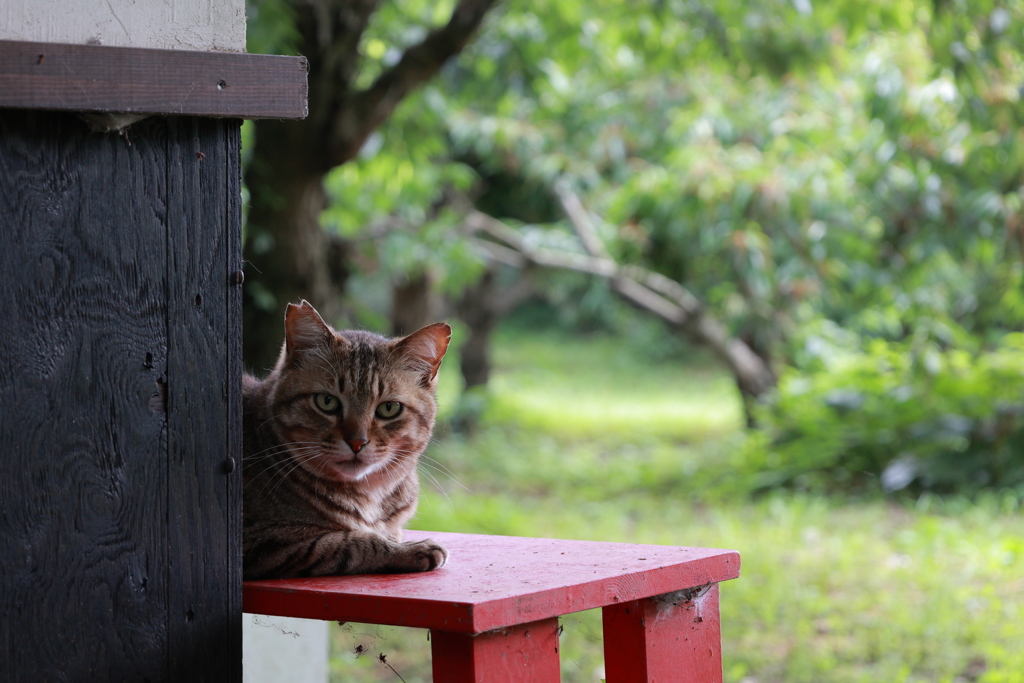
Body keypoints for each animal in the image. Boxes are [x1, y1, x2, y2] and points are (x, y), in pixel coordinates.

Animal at [241, 301, 450, 581]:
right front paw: (410, 549)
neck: (370, 496)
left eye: (389, 408)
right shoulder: (260, 542)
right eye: (326, 402)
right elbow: (355, 542)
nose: (357, 442)